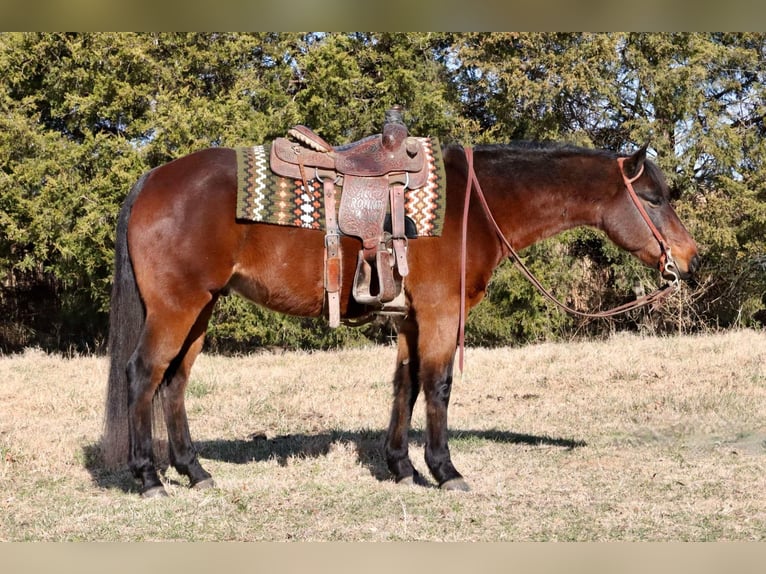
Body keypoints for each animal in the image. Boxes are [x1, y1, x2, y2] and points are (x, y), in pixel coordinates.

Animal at [102, 141, 704, 500]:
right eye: (654, 197)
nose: (690, 257)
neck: (473, 206)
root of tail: (153, 178)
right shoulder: (440, 313)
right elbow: (437, 386)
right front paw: (445, 470)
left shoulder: (412, 320)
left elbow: (405, 386)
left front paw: (400, 467)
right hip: (176, 308)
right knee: (143, 375)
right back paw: (149, 477)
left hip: (201, 309)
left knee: (174, 383)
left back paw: (195, 471)